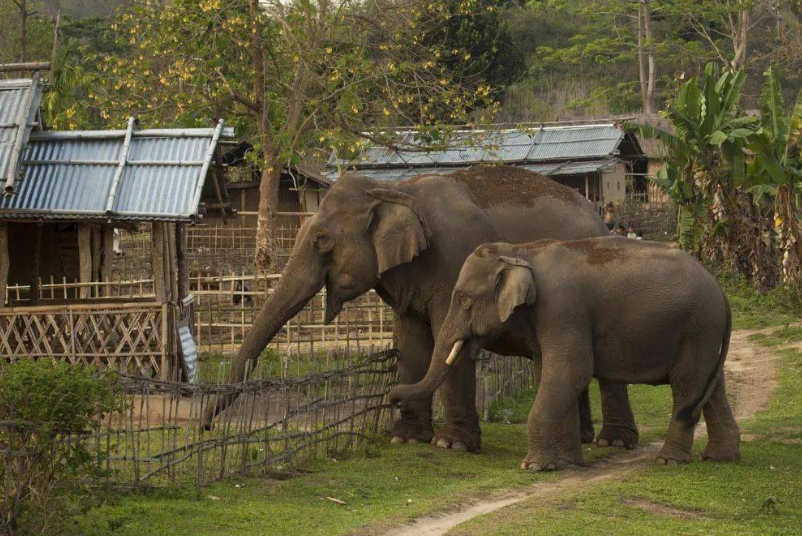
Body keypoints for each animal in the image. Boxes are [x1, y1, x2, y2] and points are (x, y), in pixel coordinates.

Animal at [205, 165, 636, 450]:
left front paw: (451, 445)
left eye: (322, 241)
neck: (395, 190)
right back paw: (584, 439)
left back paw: (613, 443)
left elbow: (449, 342)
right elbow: (411, 343)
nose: (207, 426)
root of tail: (598, 214)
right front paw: (405, 438)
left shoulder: (456, 259)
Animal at [388, 237, 736, 472]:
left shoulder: (563, 310)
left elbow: (570, 372)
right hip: (706, 334)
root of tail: (721, 290)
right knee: (710, 388)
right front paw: (566, 464)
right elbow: (551, 375)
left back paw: (669, 461)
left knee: (687, 386)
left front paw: (534, 467)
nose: (392, 397)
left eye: (462, 299)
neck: (521, 252)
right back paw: (718, 457)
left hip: (697, 327)